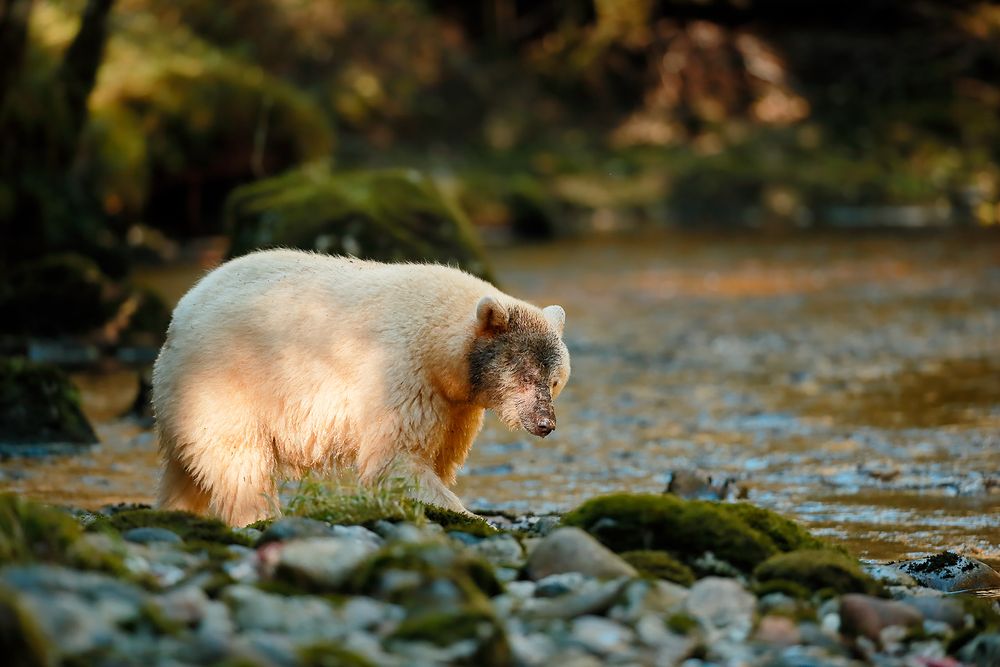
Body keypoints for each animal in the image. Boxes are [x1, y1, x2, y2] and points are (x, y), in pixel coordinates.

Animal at [152, 249, 570, 526]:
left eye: (554, 381)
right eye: (526, 376)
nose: (545, 423)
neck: (437, 341)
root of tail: (180, 314)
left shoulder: (456, 405)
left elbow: (437, 456)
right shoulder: (400, 372)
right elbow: (396, 459)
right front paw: (471, 517)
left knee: (189, 471)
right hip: (227, 385)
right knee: (240, 466)